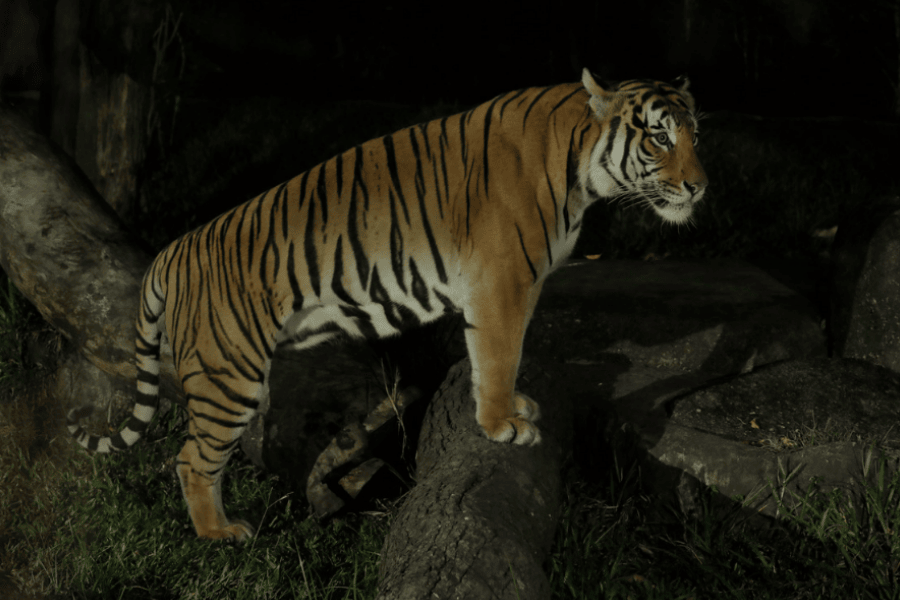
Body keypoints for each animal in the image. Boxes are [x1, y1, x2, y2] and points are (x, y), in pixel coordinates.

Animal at [68, 68, 707, 541]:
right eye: (659, 137)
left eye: (696, 136)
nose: (699, 186)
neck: (581, 168)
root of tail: (173, 249)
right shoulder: (502, 281)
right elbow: (500, 354)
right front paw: (502, 424)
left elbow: (493, 358)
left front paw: (509, 408)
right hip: (229, 374)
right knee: (191, 458)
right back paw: (219, 534)